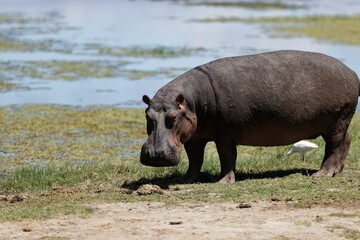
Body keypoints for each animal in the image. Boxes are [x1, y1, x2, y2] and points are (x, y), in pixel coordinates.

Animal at [141, 49, 360, 183]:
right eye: (147, 115)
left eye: (172, 117)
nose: (155, 155)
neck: (190, 103)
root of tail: (352, 72)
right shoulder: (194, 136)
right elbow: (195, 159)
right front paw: (185, 179)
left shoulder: (224, 135)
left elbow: (227, 157)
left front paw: (223, 182)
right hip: (337, 122)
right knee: (346, 140)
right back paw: (337, 170)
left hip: (338, 120)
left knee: (333, 147)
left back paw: (321, 175)